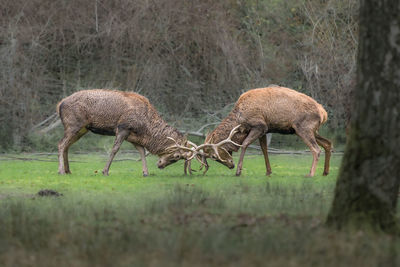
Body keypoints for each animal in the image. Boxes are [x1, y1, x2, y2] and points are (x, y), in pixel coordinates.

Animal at [56, 90, 197, 177]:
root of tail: (60, 104)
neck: (145, 129)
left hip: (82, 129)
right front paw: (105, 171)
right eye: (177, 156)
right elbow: (115, 149)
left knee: (67, 145)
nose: (160, 165)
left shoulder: (133, 136)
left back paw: (68, 170)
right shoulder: (123, 127)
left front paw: (145, 173)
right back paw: (61, 171)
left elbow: (142, 151)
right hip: (73, 125)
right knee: (61, 144)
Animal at [192, 86, 332, 178]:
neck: (239, 119)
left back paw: (310, 174)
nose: (231, 165)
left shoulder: (260, 126)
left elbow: (245, 144)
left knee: (316, 149)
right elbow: (264, 149)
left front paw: (239, 171)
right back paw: (325, 172)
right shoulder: (265, 130)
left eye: (214, 156)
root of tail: (324, 113)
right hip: (311, 130)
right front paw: (268, 172)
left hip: (303, 128)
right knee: (328, 143)